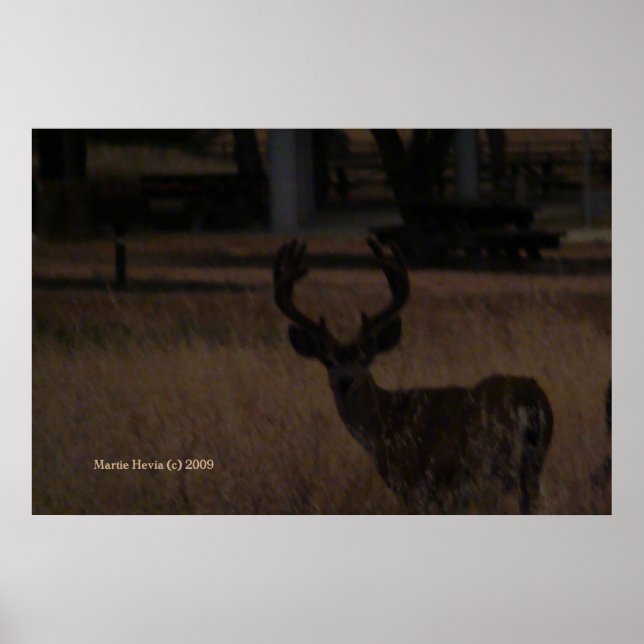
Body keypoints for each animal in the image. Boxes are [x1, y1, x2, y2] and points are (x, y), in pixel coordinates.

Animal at [273, 239, 554, 514]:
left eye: (364, 360)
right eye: (328, 362)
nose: (344, 381)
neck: (386, 422)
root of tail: (529, 398)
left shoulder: (413, 484)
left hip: (488, 467)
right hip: (532, 467)